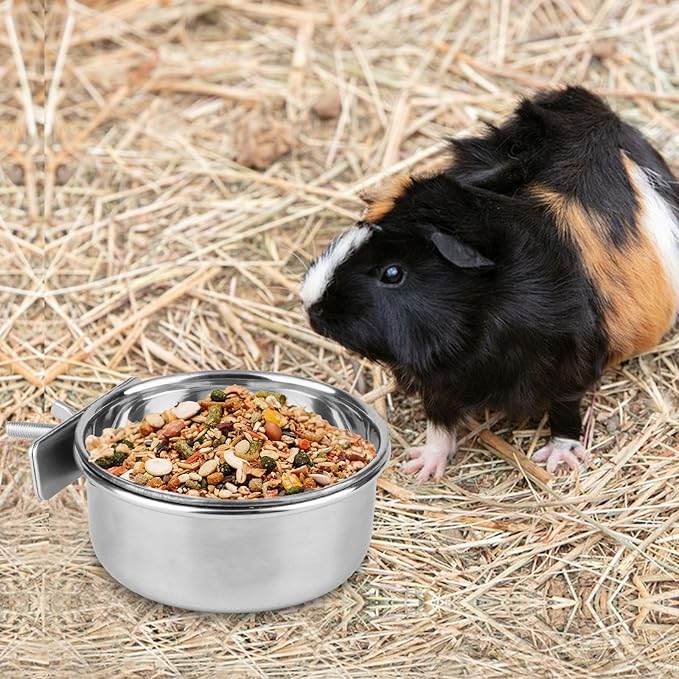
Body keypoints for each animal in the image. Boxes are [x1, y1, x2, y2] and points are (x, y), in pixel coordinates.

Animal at [300, 86, 679, 481]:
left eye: (392, 273)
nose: (309, 303)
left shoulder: (570, 369)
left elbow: (565, 415)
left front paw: (558, 461)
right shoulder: (438, 383)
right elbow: (439, 423)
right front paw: (421, 468)